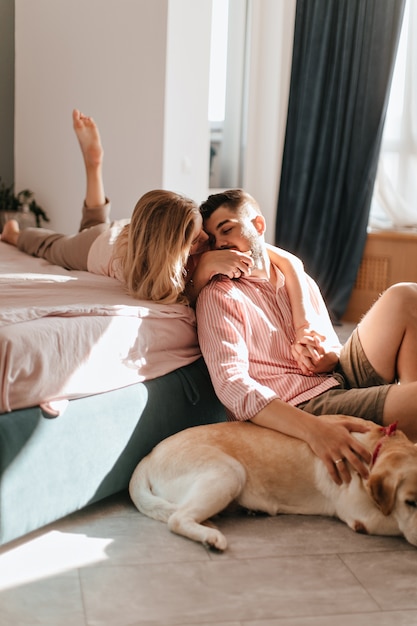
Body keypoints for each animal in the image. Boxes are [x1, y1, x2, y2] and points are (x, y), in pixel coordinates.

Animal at [128, 416, 416, 548]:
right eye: (410, 502)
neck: (379, 447)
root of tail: (148, 456)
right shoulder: (363, 516)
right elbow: (399, 524)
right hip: (229, 472)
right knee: (177, 519)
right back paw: (211, 536)